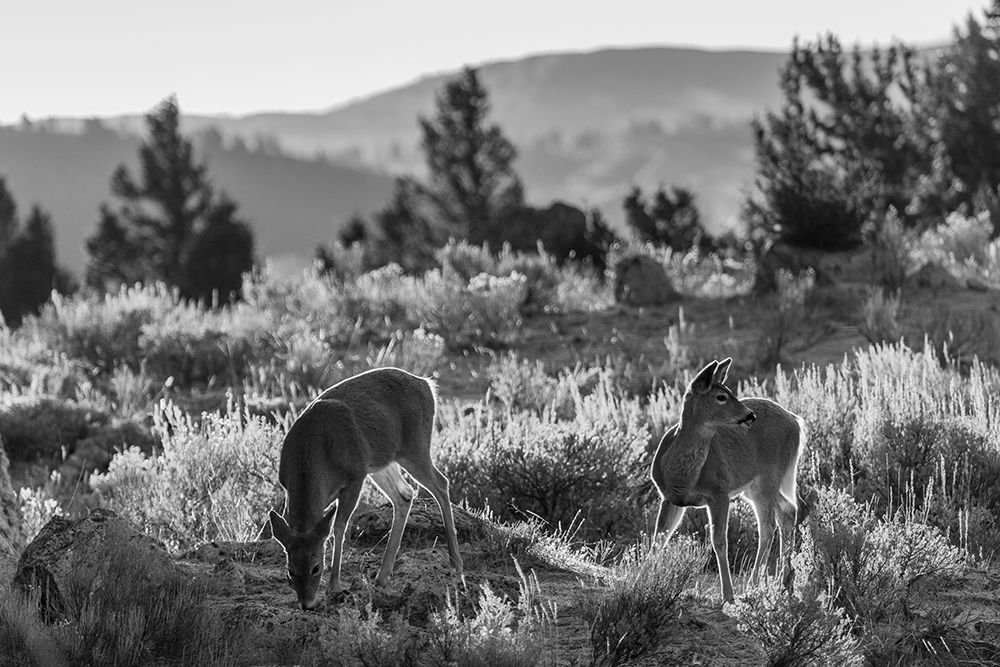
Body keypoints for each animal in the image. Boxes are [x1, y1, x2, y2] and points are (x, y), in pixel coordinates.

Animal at [268, 367, 463, 610]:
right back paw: (383, 575)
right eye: (290, 571)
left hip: (414, 447)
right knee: (405, 495)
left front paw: (334, 584)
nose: (307, 604)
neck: (314, 452)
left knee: (440, 484)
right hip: (381, 460)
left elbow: (339, 526)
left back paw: (456, 564)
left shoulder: (355, 477)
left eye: (316, 568)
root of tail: (427, 385)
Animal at [650, 358, 804, 603]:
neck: (682, 476)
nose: (750, 416)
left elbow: (720, 541)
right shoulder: (669, 497)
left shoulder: (719, 492)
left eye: (730, 391)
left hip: (768, 476)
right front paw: (642, 577)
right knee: (788, 510)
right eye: (721, 396)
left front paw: (728, 594)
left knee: (768, 527)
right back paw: (785, 582)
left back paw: (753, 585)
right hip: (755, 485)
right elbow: (659, 538)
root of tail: (796, 421)